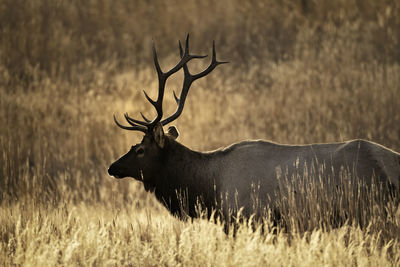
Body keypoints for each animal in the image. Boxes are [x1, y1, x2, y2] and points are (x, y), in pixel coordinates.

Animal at [107, 35, 400, 232]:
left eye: (139, 149)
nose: (112, 167)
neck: (209, 189)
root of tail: (392, 166)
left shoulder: (247, 219)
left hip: (369, 209)